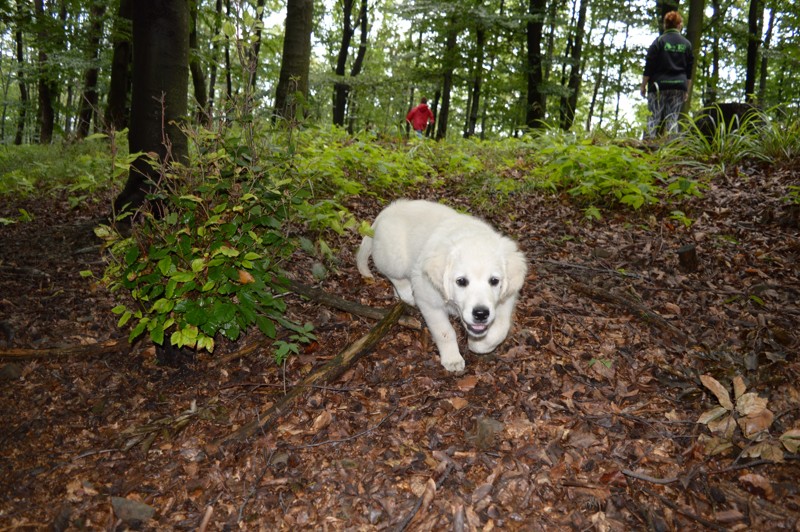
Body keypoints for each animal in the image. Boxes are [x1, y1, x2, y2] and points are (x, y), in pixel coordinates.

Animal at [356, 198, 524, 370]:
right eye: (461, 281)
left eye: (494, 281)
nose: (481, 314)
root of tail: (388, 210)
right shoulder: (429, 301)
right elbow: (444, 332)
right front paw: (452, 359)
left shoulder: (507, 297)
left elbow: (501, 328)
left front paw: (478, 344)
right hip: (394, 260)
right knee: (394, 276)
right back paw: (406, 293)